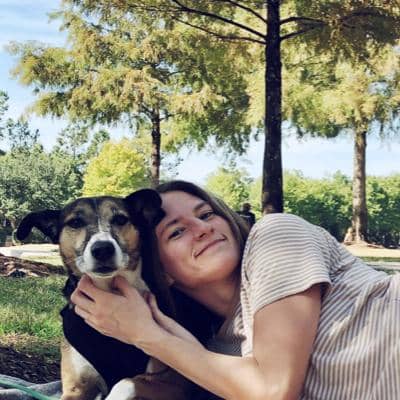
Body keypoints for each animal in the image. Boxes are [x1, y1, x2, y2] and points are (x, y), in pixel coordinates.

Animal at [16, 189, 194, 400]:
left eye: (120, 219)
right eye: (75, 222)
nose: (102, 249)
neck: (108, 289)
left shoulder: (175, 381)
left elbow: (126, 382)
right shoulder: (76, 387)